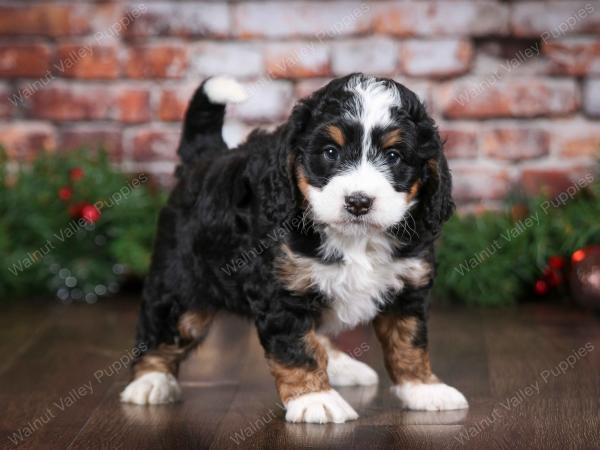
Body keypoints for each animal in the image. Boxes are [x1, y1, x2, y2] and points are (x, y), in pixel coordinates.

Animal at [122, 73, 468, 422]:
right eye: (330, 152)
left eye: (394, 156)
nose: (358, 202)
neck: (355, 239)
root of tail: (206, 157)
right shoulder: (282, 290)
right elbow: (297, 348)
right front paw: (315, 398)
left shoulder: (408, 286)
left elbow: (409, 341)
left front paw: (423, 387)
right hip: (182, 280)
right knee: (166, 326)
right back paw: (150, 382)